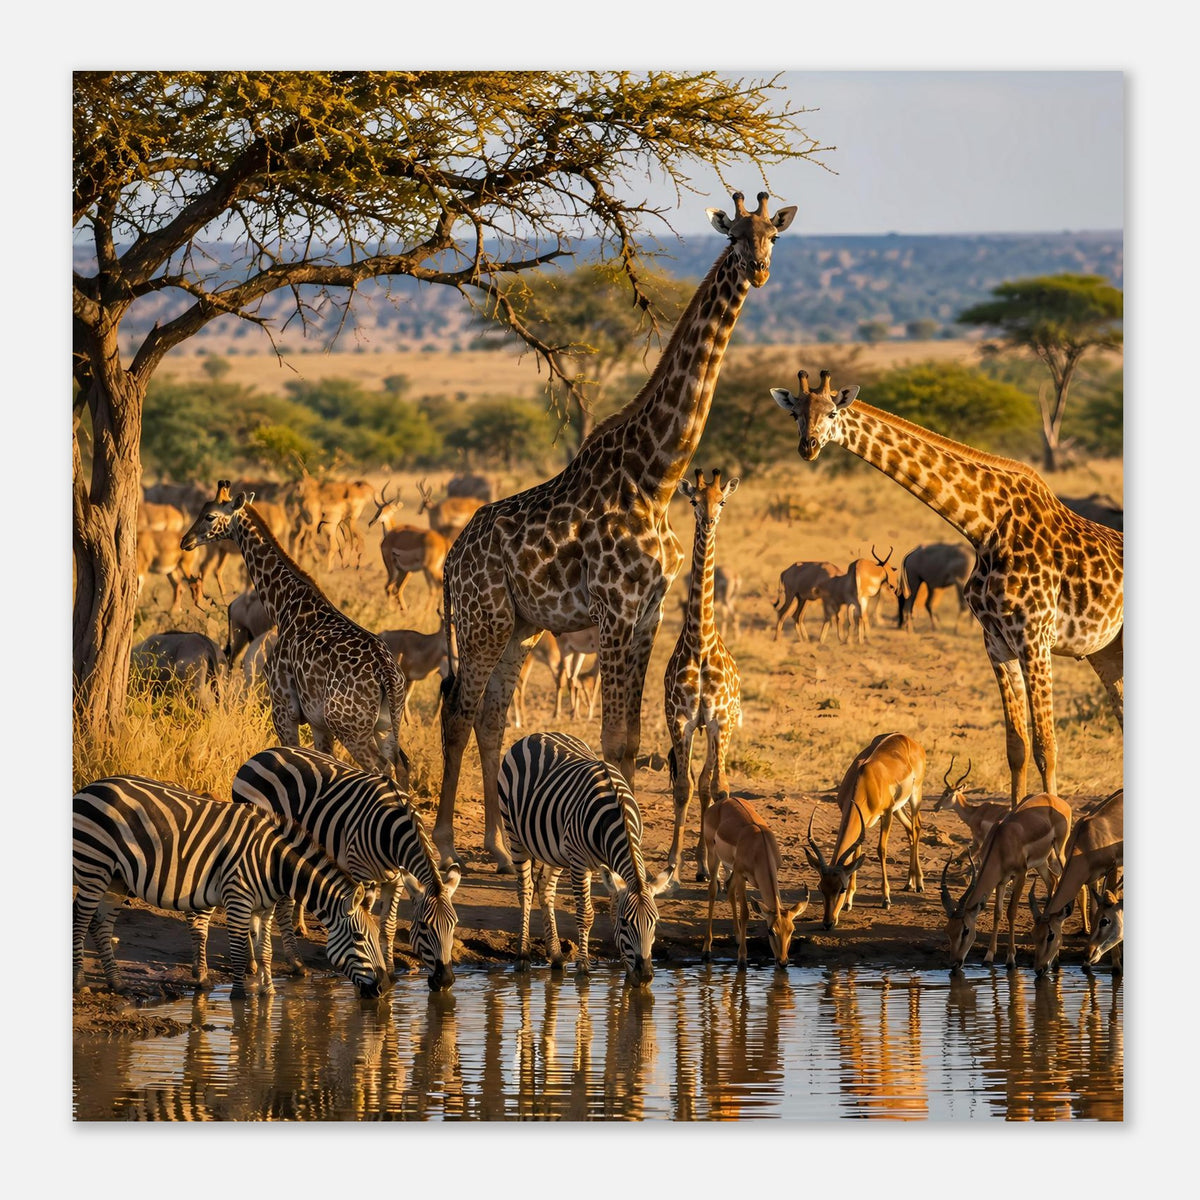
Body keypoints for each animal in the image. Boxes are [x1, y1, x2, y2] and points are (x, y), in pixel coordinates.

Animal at [73, 775, 387, 999]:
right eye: (359, 938)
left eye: (374, 936)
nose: (383, 989)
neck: (274, 862)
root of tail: (87, 788)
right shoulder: (238, 898)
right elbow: (238, 950)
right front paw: (240, 995)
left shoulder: (264, 907)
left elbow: (265, 951)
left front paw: (268, 992)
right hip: (94, 867)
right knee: (80, 920)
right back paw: (81, 983)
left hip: (116, 879)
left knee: (101, 926)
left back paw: (117, 983)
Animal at [232, 746, 461, 990]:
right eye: (425, 927)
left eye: (453, 925)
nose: (445, 981)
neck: (393, 831)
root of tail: (262, 753)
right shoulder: (363, 874)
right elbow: (368, 919)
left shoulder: (396, 879)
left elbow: (388, 927)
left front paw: (390, 971)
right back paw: (286, 963)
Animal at [497, 731, 671, 986]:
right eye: (626, 923)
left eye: (655, 922)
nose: (646, 976)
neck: (616, 816)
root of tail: (536, 734)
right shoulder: (579, 862)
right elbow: (586, 914)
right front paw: (583, 967)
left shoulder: (610, 867)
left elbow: (611, 911)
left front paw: (625, 970)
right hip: (515, 833)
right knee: (525, 890)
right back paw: (523, 956)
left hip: (555, 850)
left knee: (545, 888)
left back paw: (556, 956)